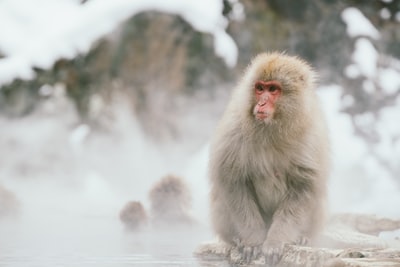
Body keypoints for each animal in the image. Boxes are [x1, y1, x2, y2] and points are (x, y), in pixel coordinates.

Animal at [208, 53, 330, 264]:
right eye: (260, 88)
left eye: (273, 89)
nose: (261, 103)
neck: (271, 129)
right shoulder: (234, 130)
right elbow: (233, 181)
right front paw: (253, 241)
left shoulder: (311, 138)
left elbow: (303, 188)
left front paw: (275, 242)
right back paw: (236, 239)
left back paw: (303, 237)